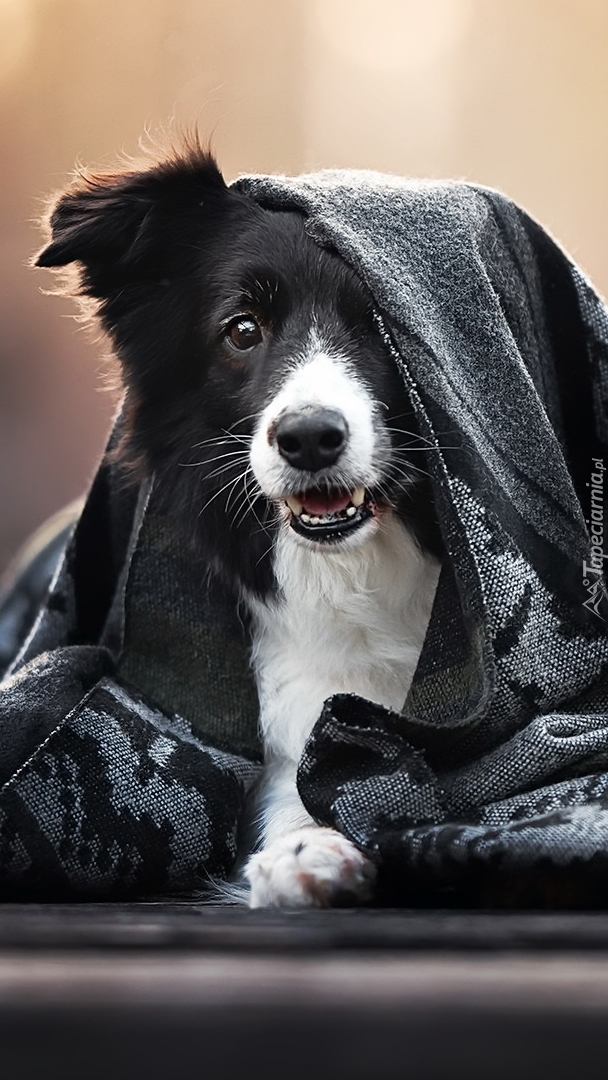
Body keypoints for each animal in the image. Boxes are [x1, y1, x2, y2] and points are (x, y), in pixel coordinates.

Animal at [35, 141, 442, 902]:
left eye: (388, 328)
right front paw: (306, 851)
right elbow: (293, 787)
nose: (308, 438)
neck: (361, 572)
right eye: (243, 330)